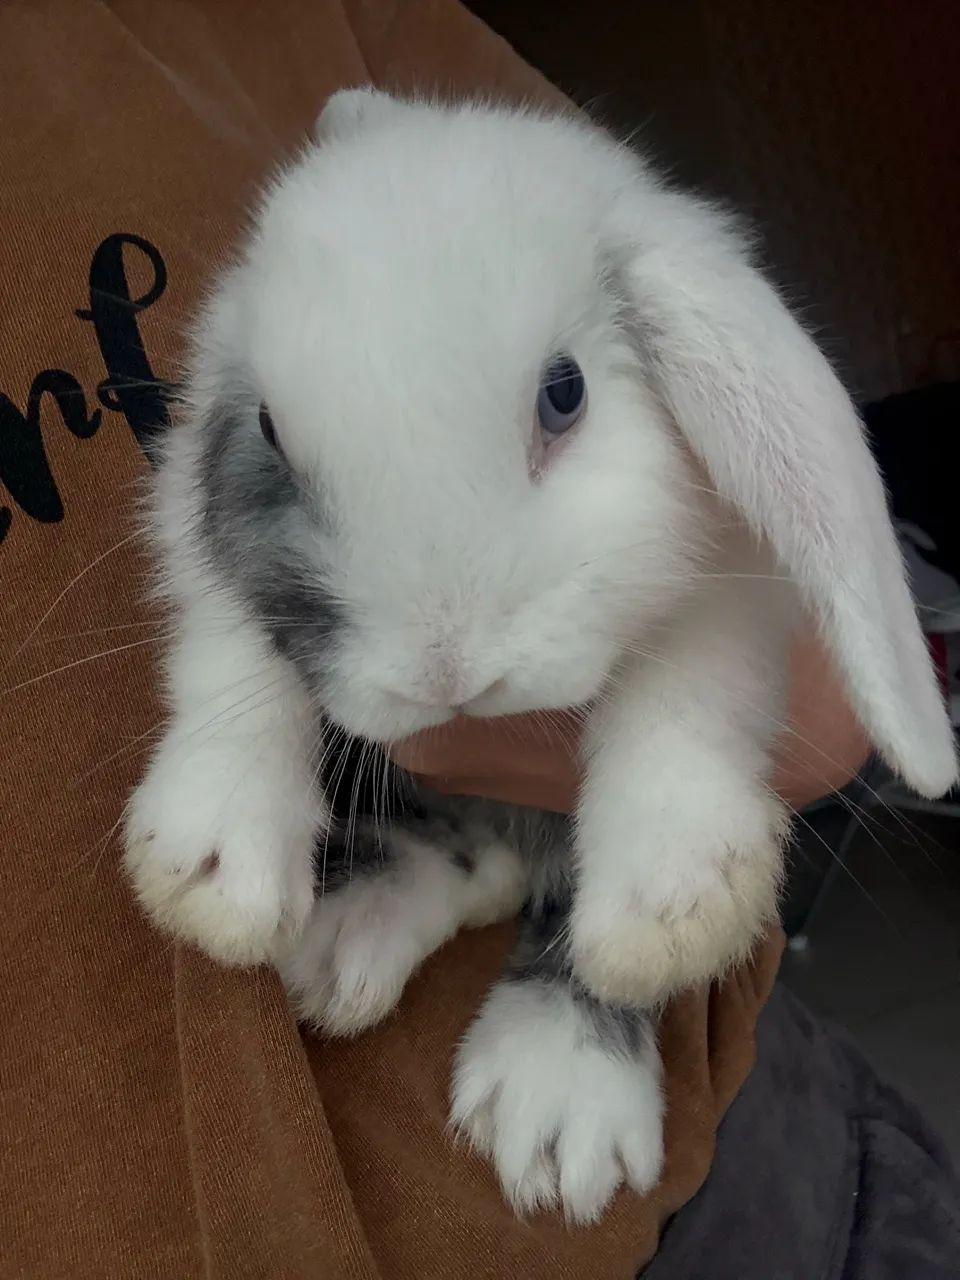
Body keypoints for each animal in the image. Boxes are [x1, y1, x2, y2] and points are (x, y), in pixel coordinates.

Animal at [123, 88, 957, 1222]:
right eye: (270, 430)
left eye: (565, 394)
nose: (446, 674)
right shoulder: (209, 537)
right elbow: (231, 660)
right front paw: (212, 872)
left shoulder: (739, 594)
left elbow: (685, 691)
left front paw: (669, 895)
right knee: (475, 859)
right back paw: (355, 930)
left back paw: (558, 1097)